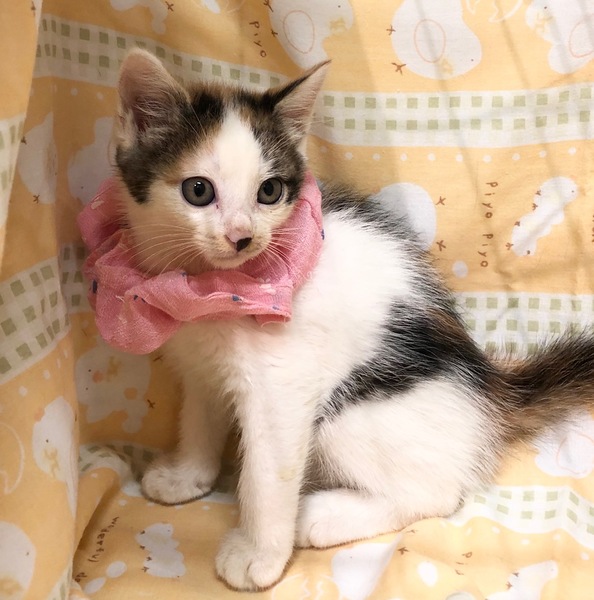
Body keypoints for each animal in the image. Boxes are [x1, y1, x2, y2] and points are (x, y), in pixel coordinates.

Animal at [103, 48, 594, 591]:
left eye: (269, 192)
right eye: (197, 190)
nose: (242, 236)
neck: (216, 289)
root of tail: (491, 391)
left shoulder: (284, 385)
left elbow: (266, 475)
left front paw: (259, 556)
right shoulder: (199, 363)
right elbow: (199, 416)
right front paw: (187, 476)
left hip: (346, 412)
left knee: (437, 494)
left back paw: (321, 515)